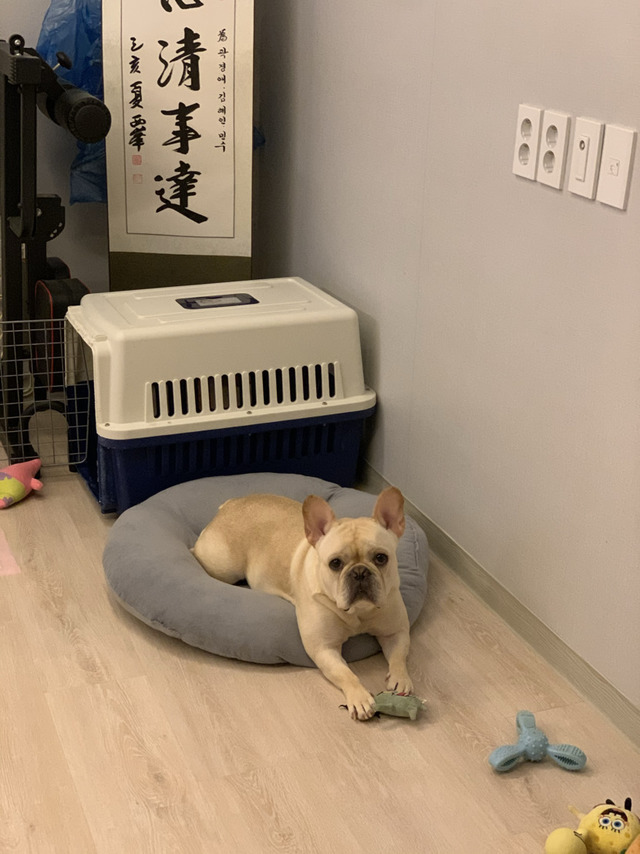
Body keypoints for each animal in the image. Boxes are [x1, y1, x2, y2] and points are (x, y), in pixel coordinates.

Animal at [191, 487, 412, 720]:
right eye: (335, 563)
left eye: (381, 558)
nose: (359, 572)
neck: (358, 612)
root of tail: (229, 505)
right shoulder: (323, 648)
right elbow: (345, 673)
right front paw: (359, 697)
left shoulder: (396, 631)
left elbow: (399, 655)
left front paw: (401, 679)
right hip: (223, 567)